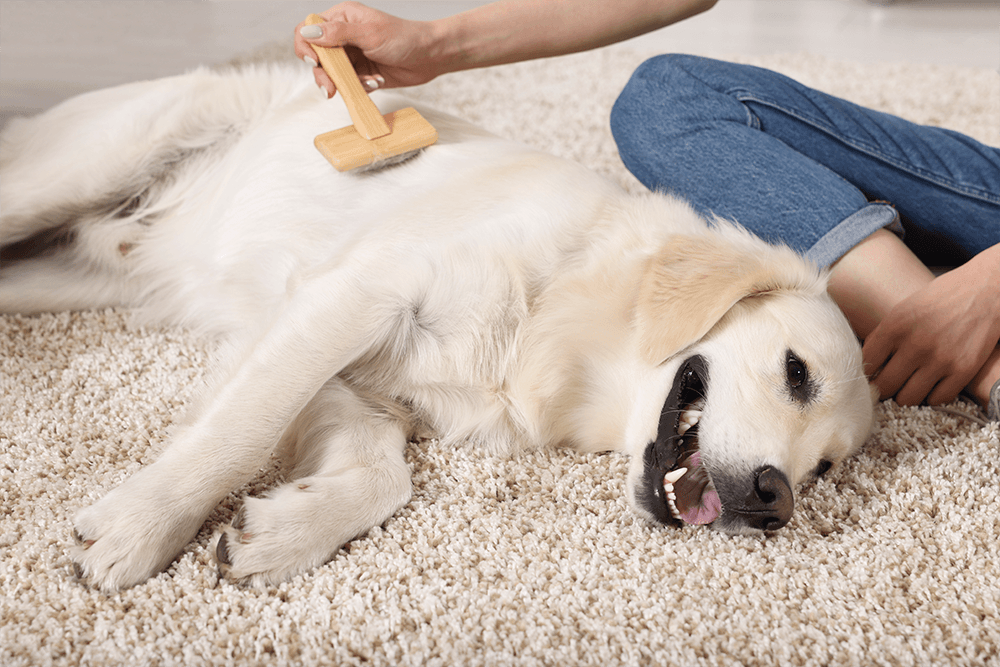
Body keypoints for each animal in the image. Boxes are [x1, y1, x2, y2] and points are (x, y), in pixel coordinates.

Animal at [0, 65, 876, 592]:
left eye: (826, 469)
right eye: (796, 371)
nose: (774, 500)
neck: (563, 305)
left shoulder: (354, 369)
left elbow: (382, 473)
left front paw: (276, 532)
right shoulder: (357, 294)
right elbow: (242, 431)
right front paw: (142, 525)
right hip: (76, 172)